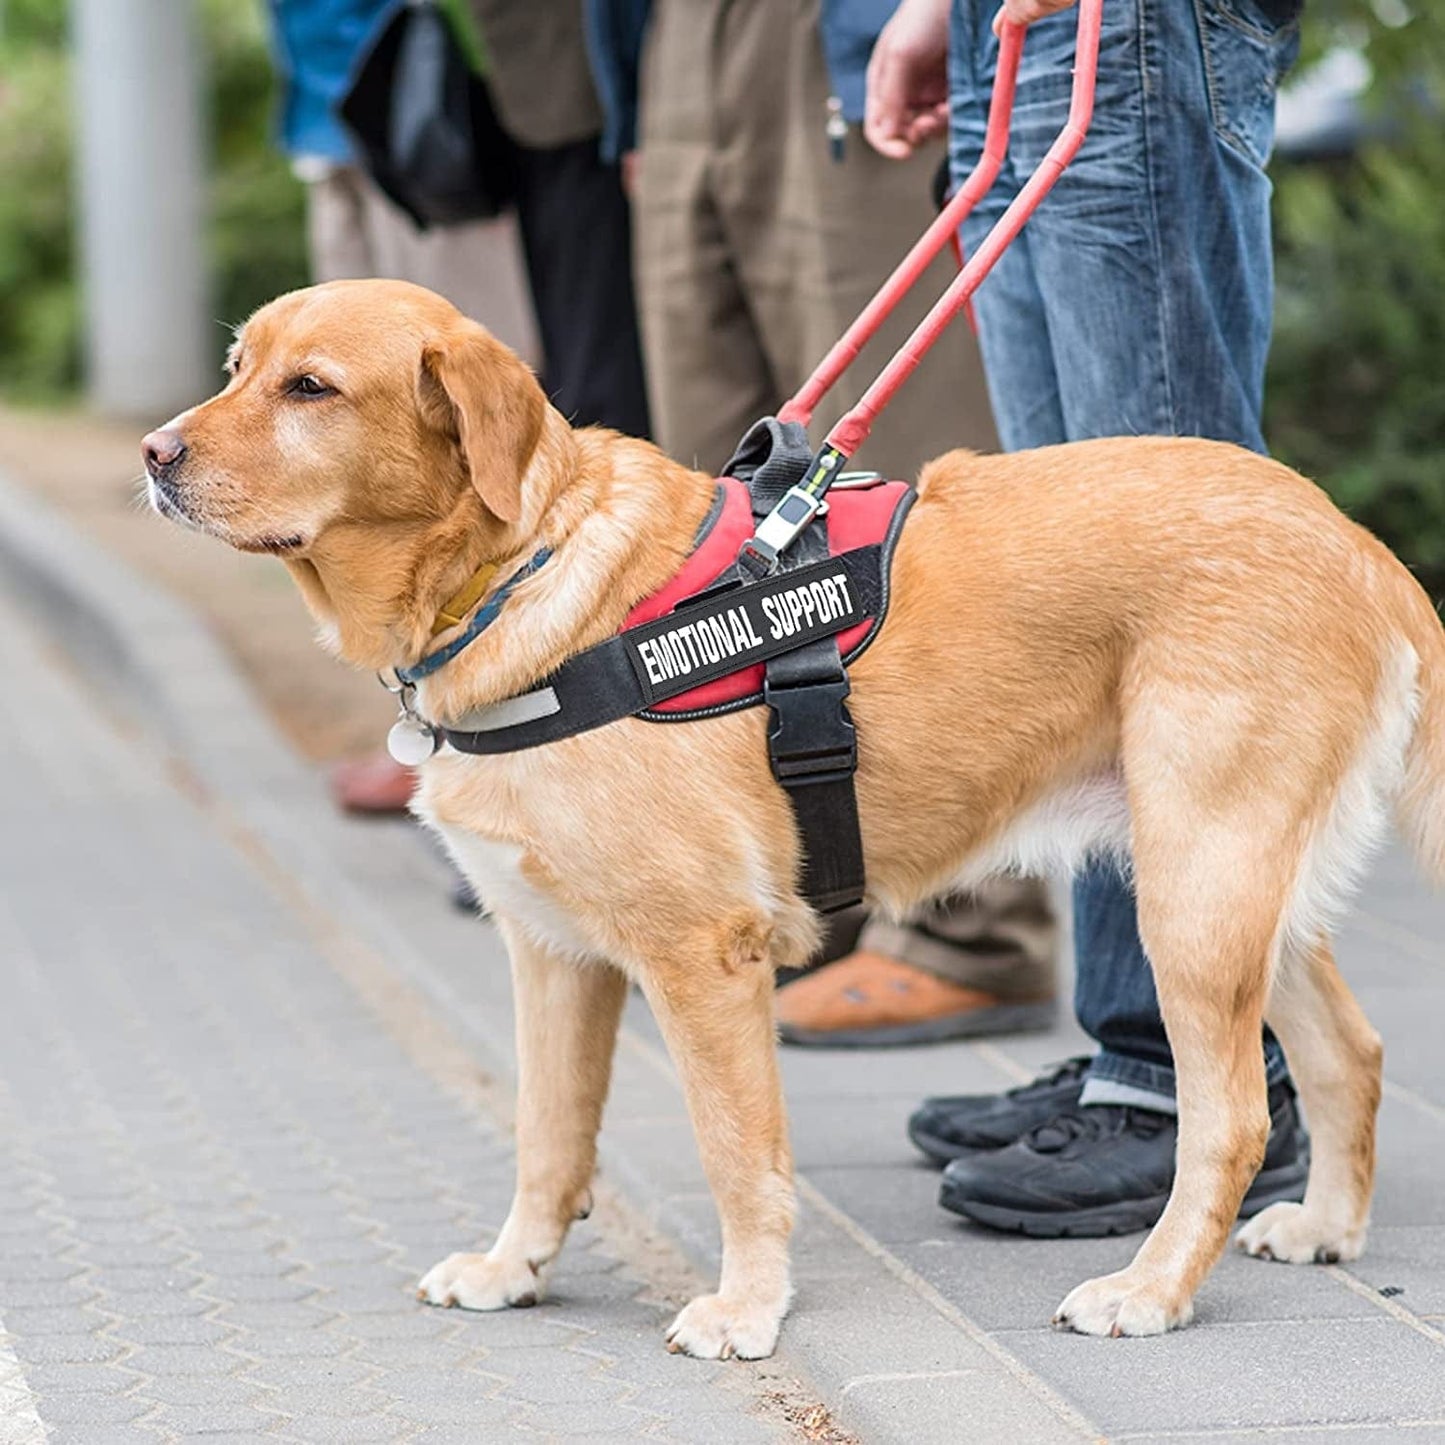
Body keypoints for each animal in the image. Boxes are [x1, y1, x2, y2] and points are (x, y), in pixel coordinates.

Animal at [143, 278, 1445, 1352]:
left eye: (311, 388)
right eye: (239, 363)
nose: (152, 453)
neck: (524, 577)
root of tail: (1359, 543)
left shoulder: (702, 957)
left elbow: (735, 1154)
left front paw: (745, 1304)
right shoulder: (552, 952)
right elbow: (547, 1133)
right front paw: (517, 1266)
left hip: (1192, 894)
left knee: (1227, 1120)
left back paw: (1152, 1288)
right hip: (1235, 890)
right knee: (1349, 1050)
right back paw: (1323, 1224)